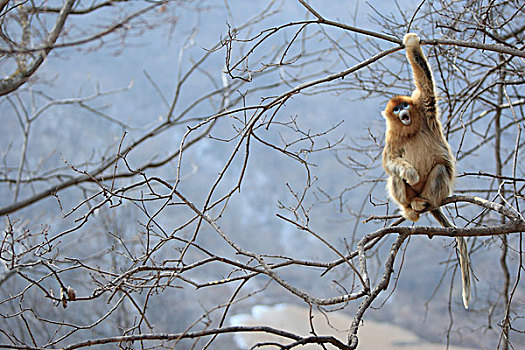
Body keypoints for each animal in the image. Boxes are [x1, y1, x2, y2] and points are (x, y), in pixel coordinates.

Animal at [380, 32, 470, 308]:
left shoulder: (422, 103)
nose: (402, 112)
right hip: (408, 193)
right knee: (394, 177)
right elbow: (390, 162)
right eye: (396, 109)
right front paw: (409, 173)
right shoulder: (392, 135)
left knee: (440, 169)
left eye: (403, 107)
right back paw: (409, 209)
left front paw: (411, 42)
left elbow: (425, 81)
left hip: (434, 189)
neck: (408, 128)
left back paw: (424, 202)